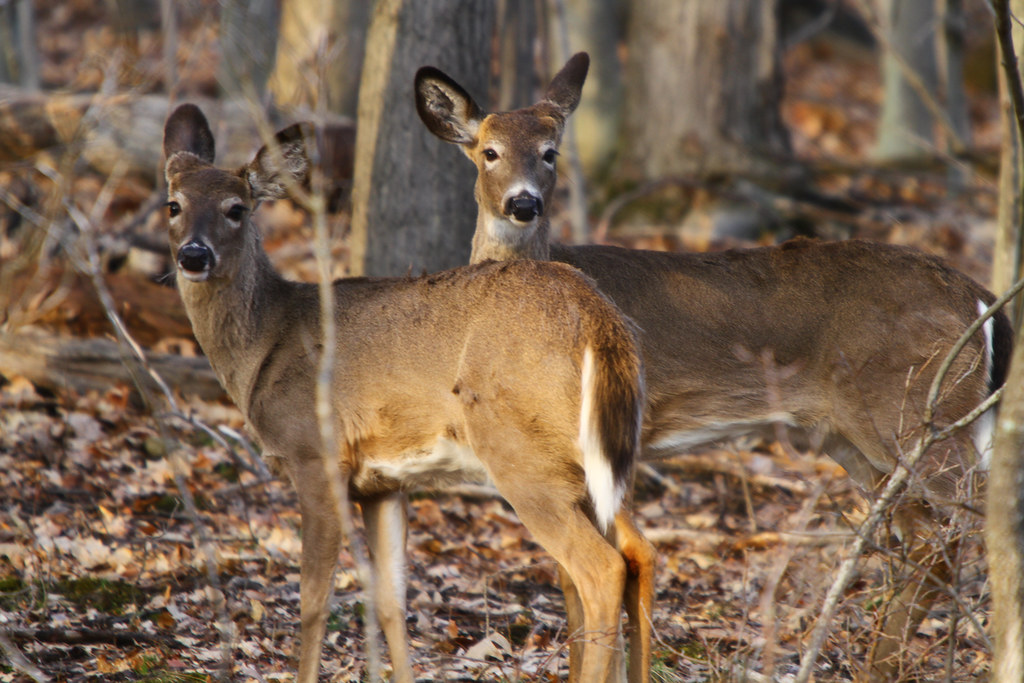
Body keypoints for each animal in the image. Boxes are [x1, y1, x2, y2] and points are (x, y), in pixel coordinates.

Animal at [161, 103, 656, 683]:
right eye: (174, 204)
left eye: (236, 209)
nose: (194, 255)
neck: (268, 342)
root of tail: (597, 317)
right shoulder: (383, 484)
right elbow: (391, 602)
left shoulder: (316, 455)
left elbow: (313, 601)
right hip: (596, 461)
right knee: (639, 552)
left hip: (525, 456)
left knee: (601, 568)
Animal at [415, 53, 1015, 681]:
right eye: (489, 151)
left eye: (550, 151)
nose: (523, 203)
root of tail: (980, 298)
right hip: (857, 439)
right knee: (929, 544)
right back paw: (881, 663)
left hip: (915, 415)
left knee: (969, 523)